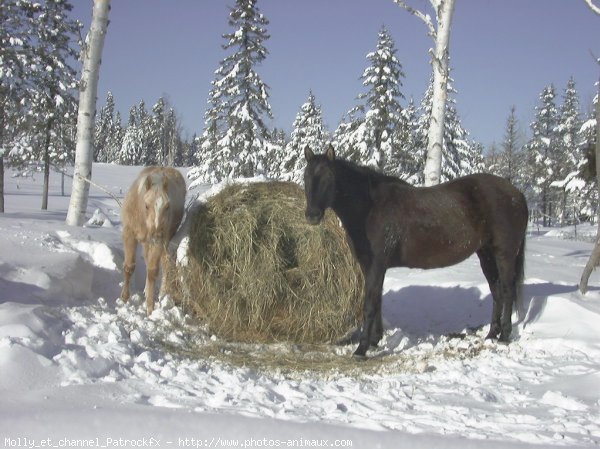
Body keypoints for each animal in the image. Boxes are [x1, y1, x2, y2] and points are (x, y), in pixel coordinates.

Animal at [120, 165, 186, 316]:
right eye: (146, 205)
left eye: (167, 206)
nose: (156, 234)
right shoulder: (129, 234)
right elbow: (129, 267)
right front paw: (124, 298)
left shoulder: (159, 242)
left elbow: (152, 271)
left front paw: (150, 307)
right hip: (147, 242)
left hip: (165, 239)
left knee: (165, 262)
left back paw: (162, 294)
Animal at [302, 145, 528, 358]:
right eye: (306, 177)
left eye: (328, 178)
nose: (312, 216)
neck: (370, 208)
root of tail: (516, 193)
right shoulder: (370, 266)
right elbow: (377, 301)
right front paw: (375, 340)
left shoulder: (377, 265)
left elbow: (369, 305)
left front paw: (361, 349)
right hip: (486, 254)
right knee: (496, 291)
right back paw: (491, 334)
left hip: (504, 254)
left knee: (507, 290)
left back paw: (504, 335)